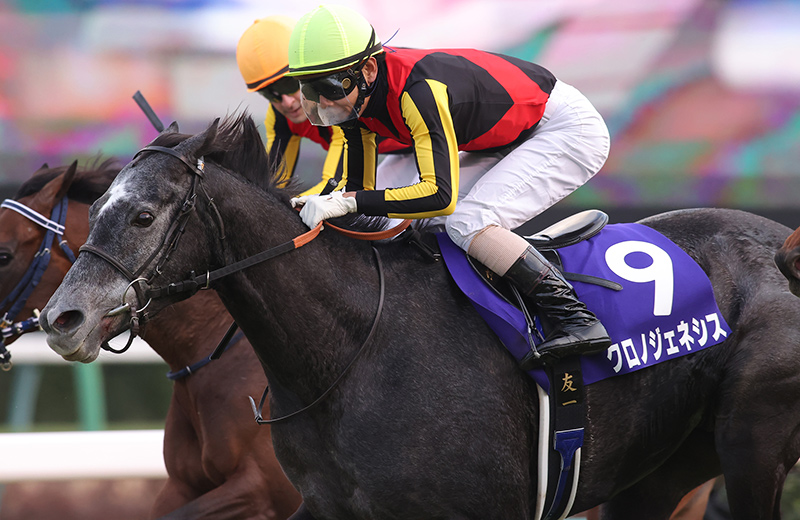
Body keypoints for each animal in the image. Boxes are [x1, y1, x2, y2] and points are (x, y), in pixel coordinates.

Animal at [39, 113, 800, 519]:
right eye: (95, 210)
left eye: (143, 215)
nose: (63, 319)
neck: (348, 352)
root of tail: (780, 242)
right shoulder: (322, 502)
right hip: (661, 472)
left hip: (753, 442)